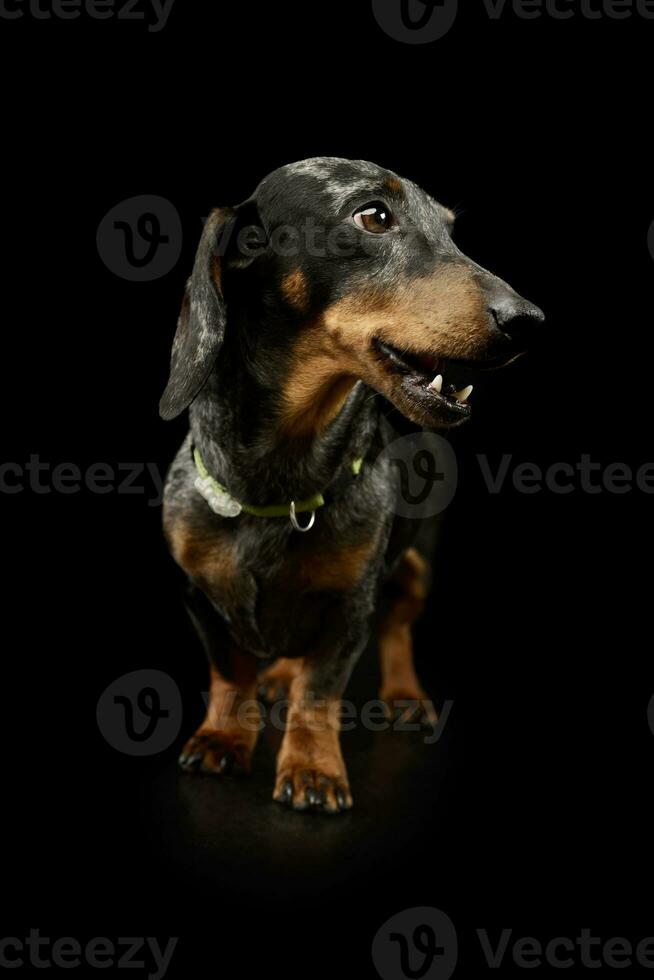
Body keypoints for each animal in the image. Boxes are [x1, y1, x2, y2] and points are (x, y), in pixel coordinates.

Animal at [159, 157, 544, 812]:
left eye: (450, 231)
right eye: (373, 216)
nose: (528, 321)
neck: (277, 484)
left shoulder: (350, 608)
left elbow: (321, 690)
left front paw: (312, 768)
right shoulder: (196, 593)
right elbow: (230, 672)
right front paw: (225, 738)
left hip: (416, 564)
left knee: (398, 628)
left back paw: (403, 696)